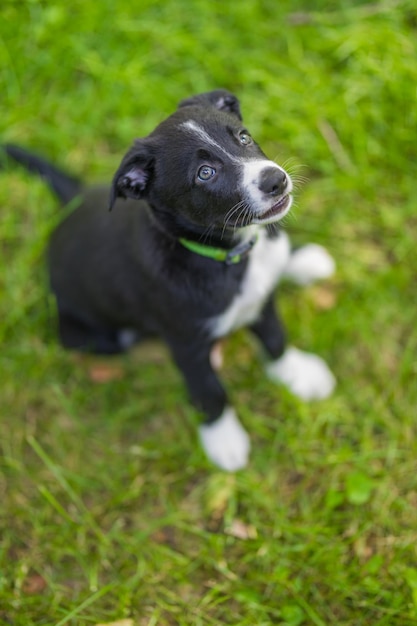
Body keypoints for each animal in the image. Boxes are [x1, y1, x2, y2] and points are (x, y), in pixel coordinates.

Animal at [3, 89, 334, 468]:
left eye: (243, 138)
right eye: (205, 173)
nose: (275, 180)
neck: (226, 256)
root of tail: (71, 201)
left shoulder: (260, 300)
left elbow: (276, 339)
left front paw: (298, 374)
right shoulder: (185, 342)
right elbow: (209, 391)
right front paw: (223, 439)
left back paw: (301, 261)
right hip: (94, 336)